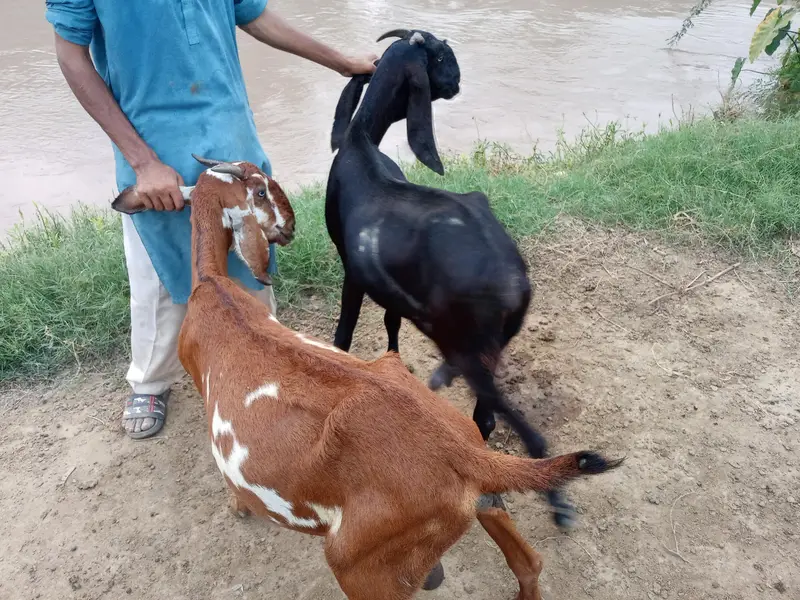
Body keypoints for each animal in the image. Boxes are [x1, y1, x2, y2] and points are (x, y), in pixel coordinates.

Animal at [112, 156, 623, 600]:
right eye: (261, 190)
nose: (292, 225)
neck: (213, 288)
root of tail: (466, 454)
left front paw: (236, 505)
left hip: (363, 566)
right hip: (483, 503)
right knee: (528, 564)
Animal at [326, 29, 579, 528]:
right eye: (442, 56)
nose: (458, 80)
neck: (360, 143)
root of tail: (513, 284)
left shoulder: (351, 271)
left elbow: (343, 334)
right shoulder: (391, 292)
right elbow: (389, 325)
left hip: (460, 337)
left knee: (502, 418)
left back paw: (555, 500)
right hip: (486, 342)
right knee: (486, 417)